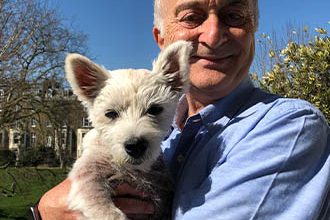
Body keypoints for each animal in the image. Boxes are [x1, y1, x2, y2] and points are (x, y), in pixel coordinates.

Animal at [65, 40, 192, 219]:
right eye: (110, 113)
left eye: (154, 109)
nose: (135, 146)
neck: (133, 169)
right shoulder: (88, 171)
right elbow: (98, 199)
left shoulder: (162, 187)